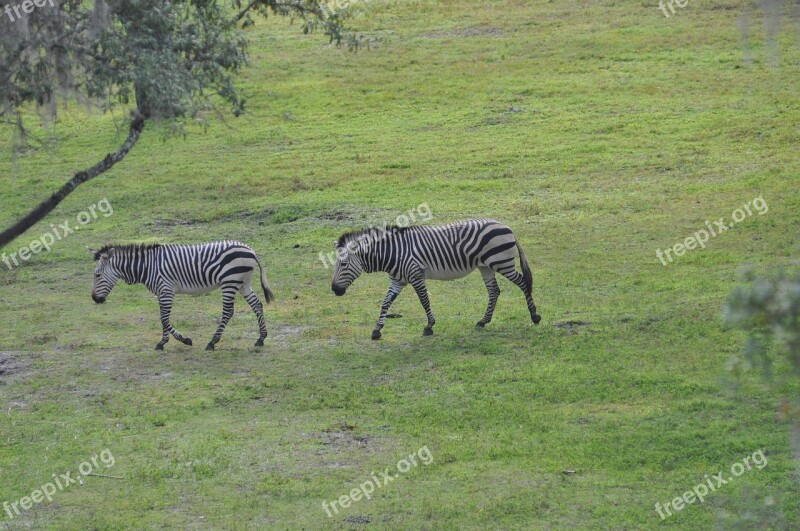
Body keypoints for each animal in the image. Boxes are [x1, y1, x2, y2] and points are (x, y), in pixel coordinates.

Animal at [91, 242, 276, 352]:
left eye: (97, 275)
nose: (95, 299)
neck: (148, 266)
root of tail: (251, 250)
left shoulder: (166, 290)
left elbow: (164, 318)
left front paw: (183, 340)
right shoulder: (162, 292)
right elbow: (163, 318)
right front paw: (163, 342)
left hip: (230, 282)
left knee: (228, 312)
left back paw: (212, 342)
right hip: (243, 282)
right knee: (257, 305)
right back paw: (261, 338)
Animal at [332, 218, 544, 338]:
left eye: (343, 264)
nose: (334, 290)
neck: (393, 254)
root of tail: (507, 227)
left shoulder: (416, 275)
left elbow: (424, 301)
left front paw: (429, 326)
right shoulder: (397, 281)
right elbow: (385, 303)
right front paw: (377, 330)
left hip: (502, 263)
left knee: (523, 282)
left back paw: (534, 316)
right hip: (486, 266)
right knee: (494, 291)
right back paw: (483, 321)